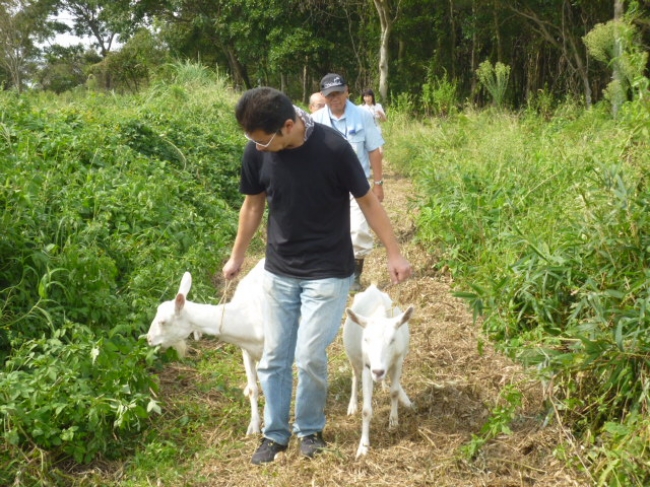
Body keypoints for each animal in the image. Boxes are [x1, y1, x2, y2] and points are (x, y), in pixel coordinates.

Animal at [146, 260, 264, 434]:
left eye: (162, 321)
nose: (149, 339)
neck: (246, 320)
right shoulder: (246, 350)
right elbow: (252, 389)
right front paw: (254, 426)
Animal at [342, 284, 412, 460]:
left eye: (392, 340)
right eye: (366, 339)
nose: (378, 371)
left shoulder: (397, 361)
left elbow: (394, 392)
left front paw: (393, 422)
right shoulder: (367, 366)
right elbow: (366, 411)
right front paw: (363, 447)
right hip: (354, 358)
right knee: (355, 376)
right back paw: (352, 405)